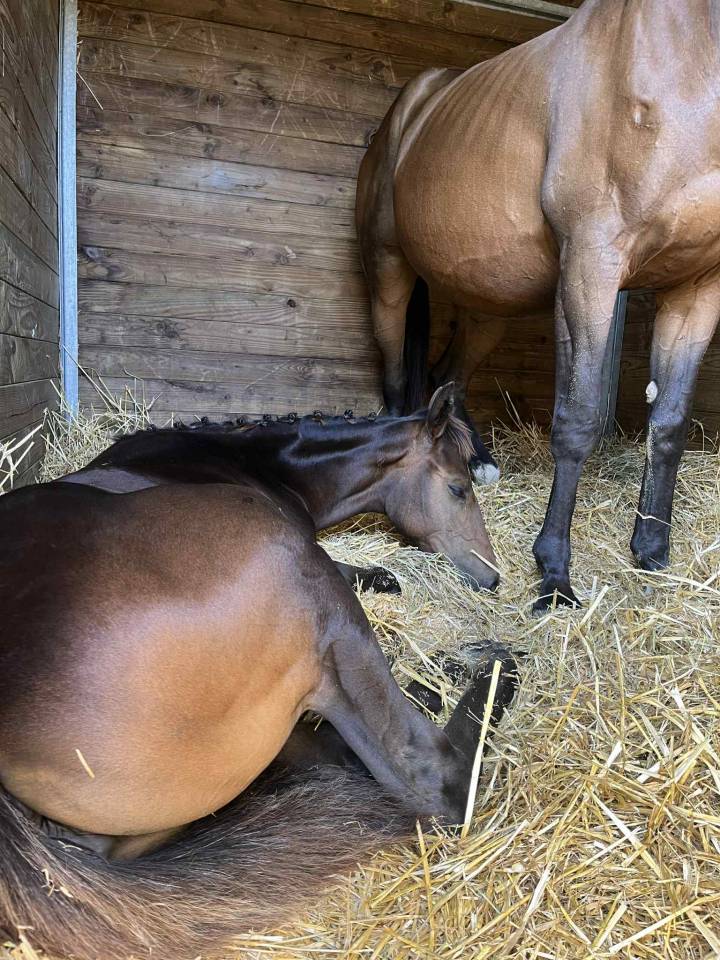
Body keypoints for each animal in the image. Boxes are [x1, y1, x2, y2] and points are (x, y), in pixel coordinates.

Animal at [0, 384, 518, 960]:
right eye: (457, 488)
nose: (492, 577)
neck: (259, 464)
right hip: (313, 595)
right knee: (430, 774)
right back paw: (492, 665)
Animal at [356, 0, 720, 612]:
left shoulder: (698, 284)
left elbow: (669, 424)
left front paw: (651, 553)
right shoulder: (591, 264)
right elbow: (575, 421)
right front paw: (554, 576)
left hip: (488, 302)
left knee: (448, 371)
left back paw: (477, 461)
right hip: (388, 269)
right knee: (394, 377)